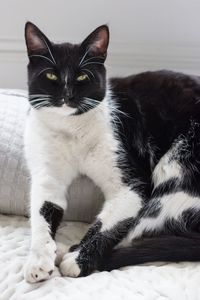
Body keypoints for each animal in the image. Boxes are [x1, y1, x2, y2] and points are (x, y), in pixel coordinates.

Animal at [23, 22, 200, 282]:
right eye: (51, 75)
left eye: (83, 75)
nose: (67, 96)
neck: (71, 129)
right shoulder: (47, 177)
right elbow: (40, 215)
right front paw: (37, 260)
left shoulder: (130, 182)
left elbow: (109, 224)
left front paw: (78, 261)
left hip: (178, 169)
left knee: (143, 228)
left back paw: (69, 252)